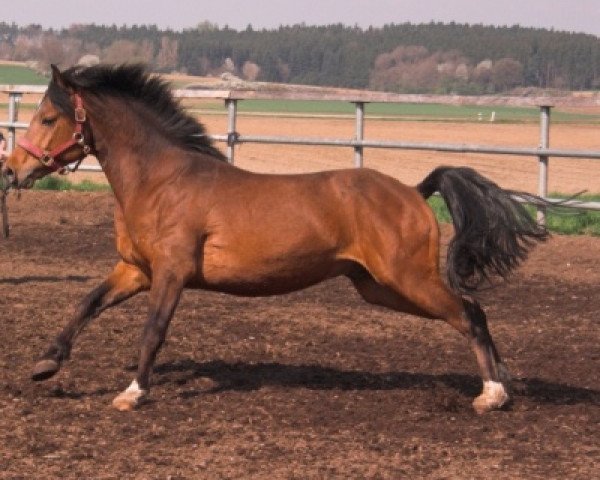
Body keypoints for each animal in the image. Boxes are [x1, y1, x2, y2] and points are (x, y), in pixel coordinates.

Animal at [2, 63, 548, 414]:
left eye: (48, 118)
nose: (12, 170)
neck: (161, 180)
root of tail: (414, 192)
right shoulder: (137, 270)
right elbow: (87, 303)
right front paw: (46, 364)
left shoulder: (173, 273)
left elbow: (152, 330)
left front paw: (133, 393)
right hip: (379, 288)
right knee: (469, 311)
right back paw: (503, 382)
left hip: (406, 278)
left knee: (468, 313)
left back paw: (492, 395)